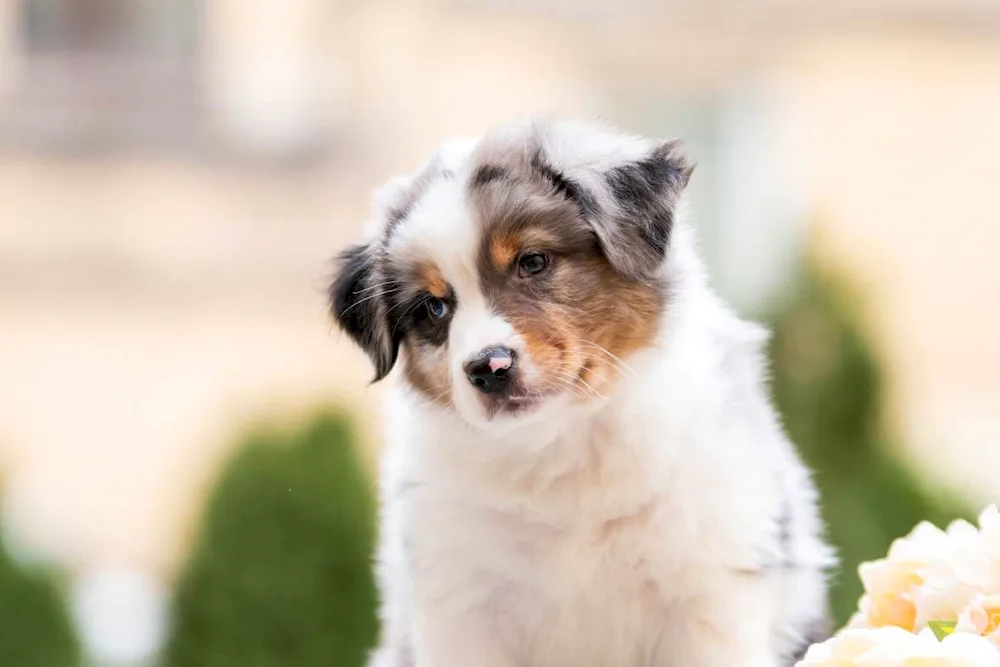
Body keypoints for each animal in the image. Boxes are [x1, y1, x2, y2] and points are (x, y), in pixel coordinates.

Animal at [330, 118, 836, 667]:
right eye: (433, 308)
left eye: (533, 262)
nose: (488, 368)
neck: (560, 443)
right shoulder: (463, 605)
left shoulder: (710, 590)